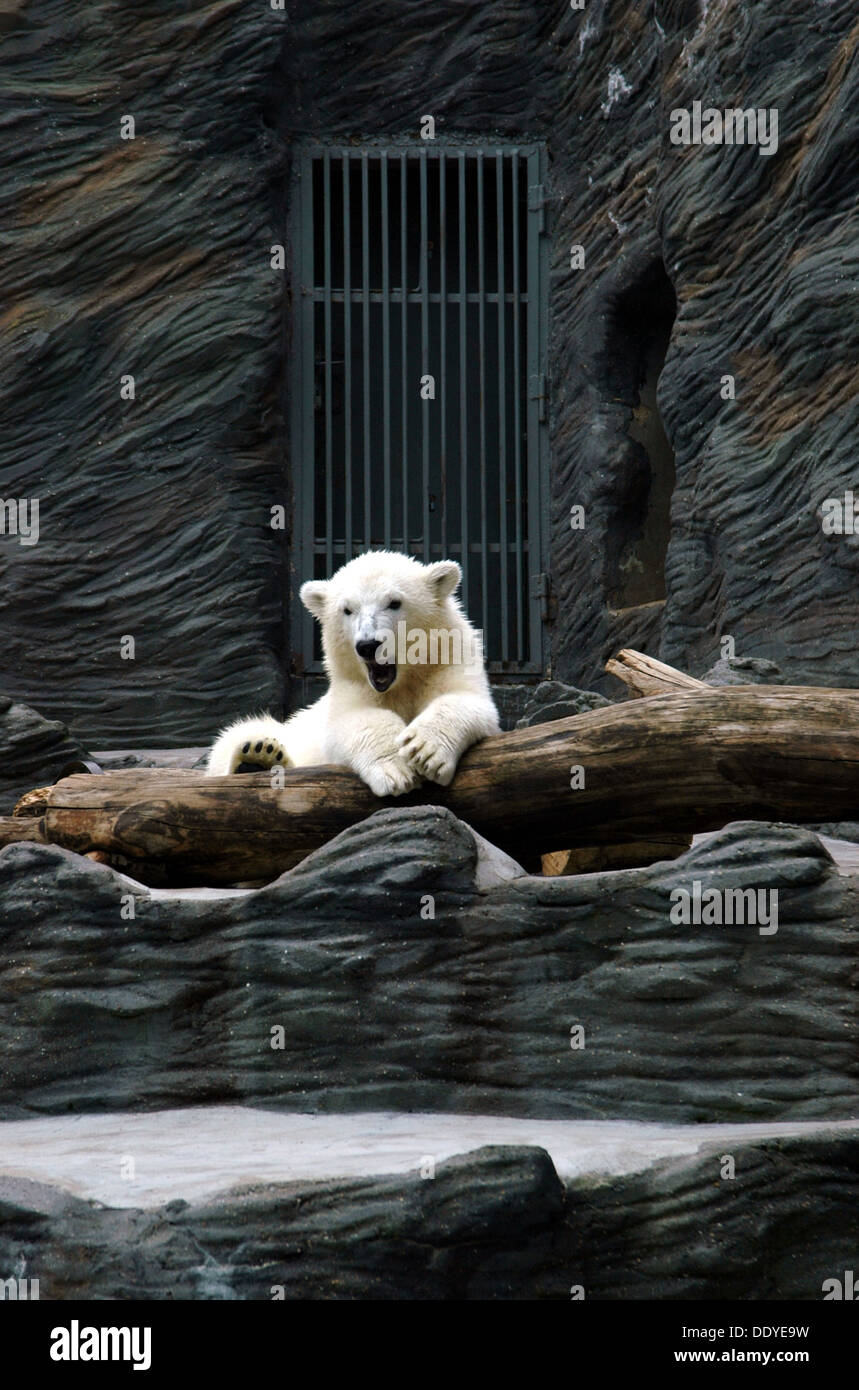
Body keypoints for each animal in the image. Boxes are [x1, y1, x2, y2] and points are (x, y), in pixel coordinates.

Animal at [204, 550, 497, 800]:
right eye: (347, 610)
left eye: (394, 603)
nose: (368, 645)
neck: (402, 680)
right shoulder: (351, 685)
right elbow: (353, 721)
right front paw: (396, 770)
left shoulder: (448, 660)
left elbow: (467, 700)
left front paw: (423, 750)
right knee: (237, 735)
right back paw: (256, 758)